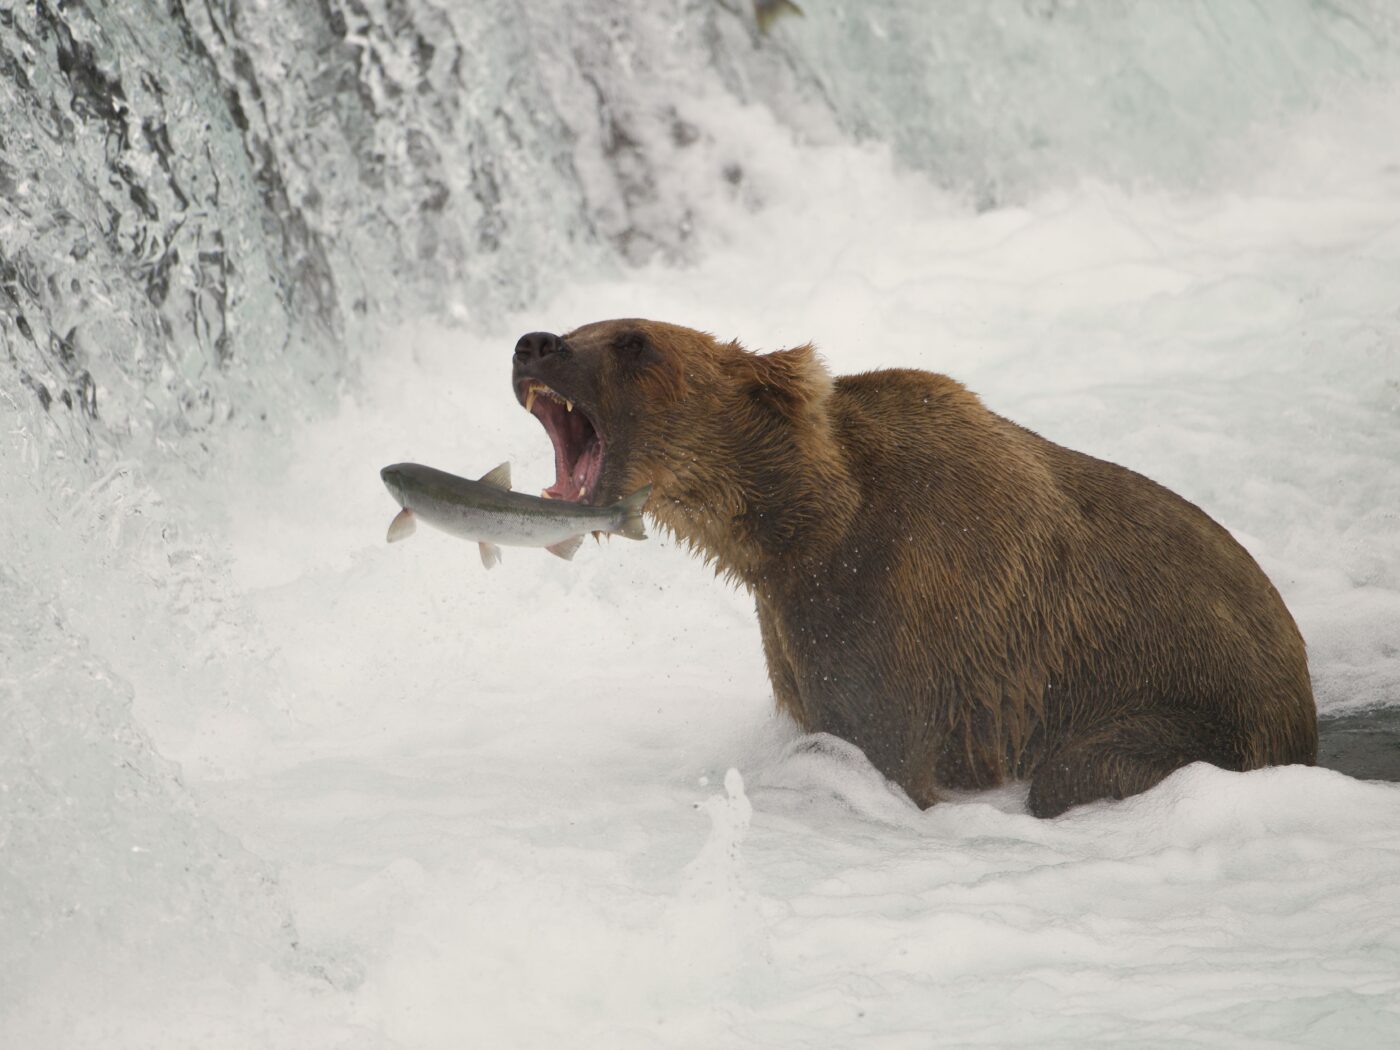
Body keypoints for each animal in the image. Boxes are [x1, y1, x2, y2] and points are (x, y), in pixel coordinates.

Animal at [511, 320, 1317, 817]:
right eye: (588, 326)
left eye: (633, 340)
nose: (534, 343)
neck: (798, 526)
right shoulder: (796, 621)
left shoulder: (901, 603)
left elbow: (885, 748)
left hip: (1198, 707)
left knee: (1076, 772)